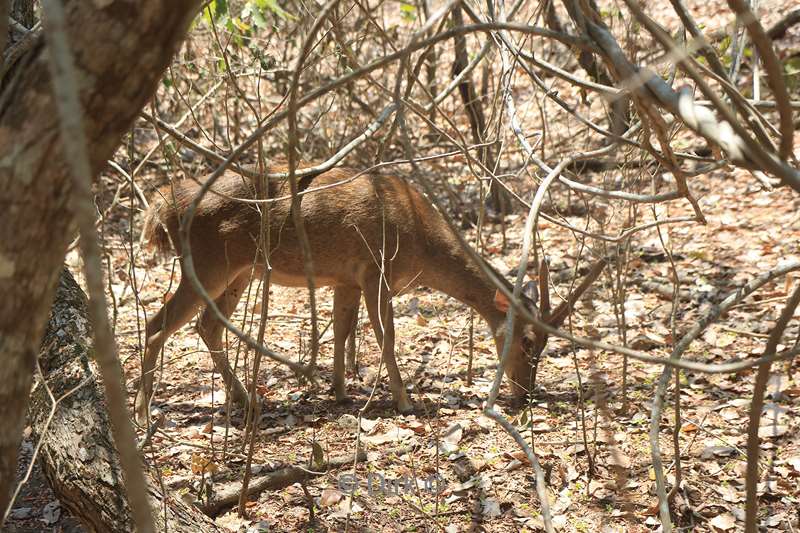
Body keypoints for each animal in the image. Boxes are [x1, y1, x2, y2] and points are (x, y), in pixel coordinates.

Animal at [136, 163, 608, 424]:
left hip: (240, 272)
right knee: (157, 324)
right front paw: (405, 401)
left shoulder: (345, 278)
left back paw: (243, 398)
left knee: (207, 325)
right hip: (207, 263)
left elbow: (343, 331)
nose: (525, 393)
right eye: (527, 341)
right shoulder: (376, 271)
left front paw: (341, 392)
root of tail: (162, 207)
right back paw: (143, 410)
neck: (421, 242)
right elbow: (386, 337)